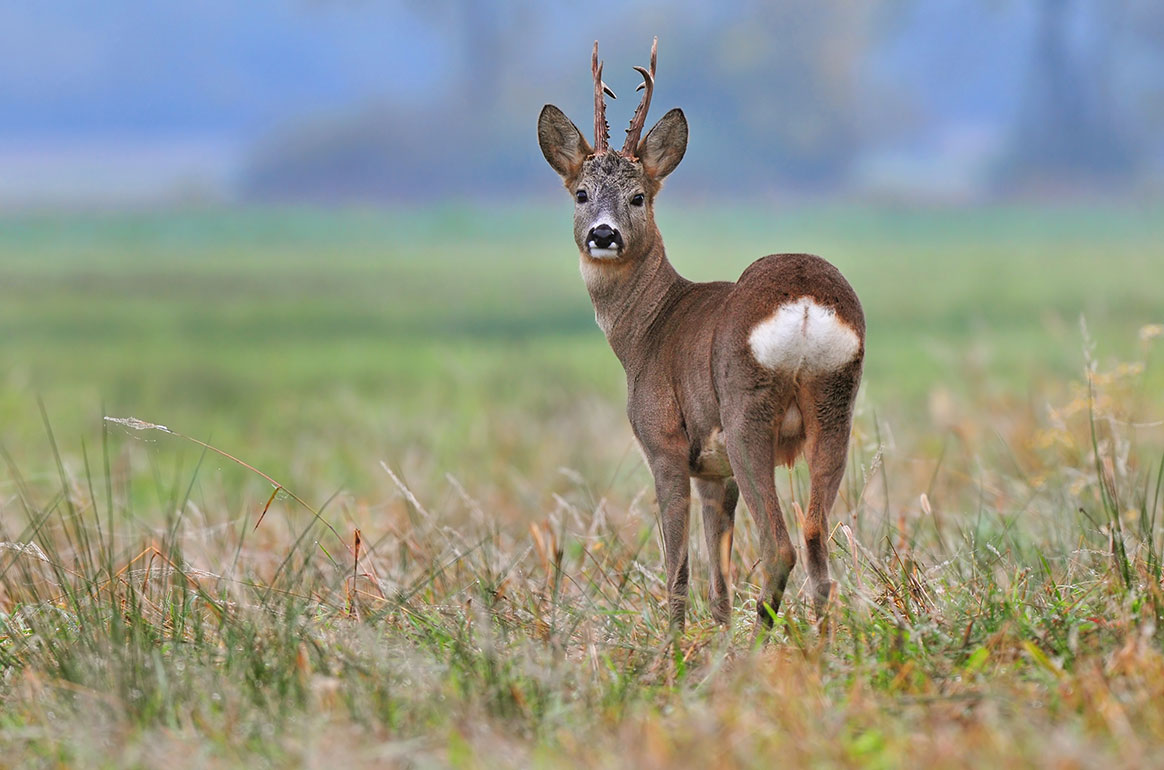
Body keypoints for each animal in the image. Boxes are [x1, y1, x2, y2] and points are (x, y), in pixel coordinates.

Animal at [537, 39, 866, 637]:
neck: (646, 331)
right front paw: (715, 642)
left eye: (639, 196)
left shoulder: (665, 443)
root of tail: (808, 304)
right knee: (815, 539)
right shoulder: (715, 472)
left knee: (780, 546)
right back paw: (824, 647)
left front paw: (674, 647)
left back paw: (762, 646)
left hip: (745, 413)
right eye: (581, 193)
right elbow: (719, 580)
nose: (603, 234)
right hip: (836, 406)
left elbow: (678, 569)